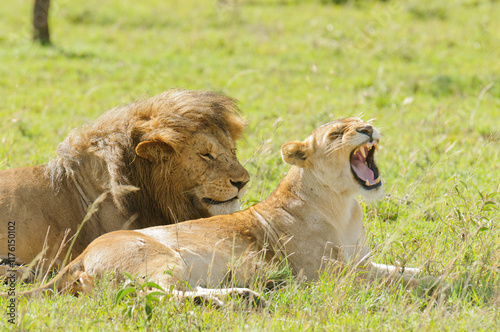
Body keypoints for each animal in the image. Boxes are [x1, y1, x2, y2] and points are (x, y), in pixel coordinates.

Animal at [6, 117, 434, 306]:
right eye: (336, 133)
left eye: (362, 121)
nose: (367, 128)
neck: (343, 205)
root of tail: (79, 258)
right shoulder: (329, 277)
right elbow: (396, 284)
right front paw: (441, 290)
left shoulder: (361, 263)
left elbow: (412, 273)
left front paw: (440, 279)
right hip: (159, 258)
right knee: (158, 293)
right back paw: (233, 300)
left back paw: (245, 295)